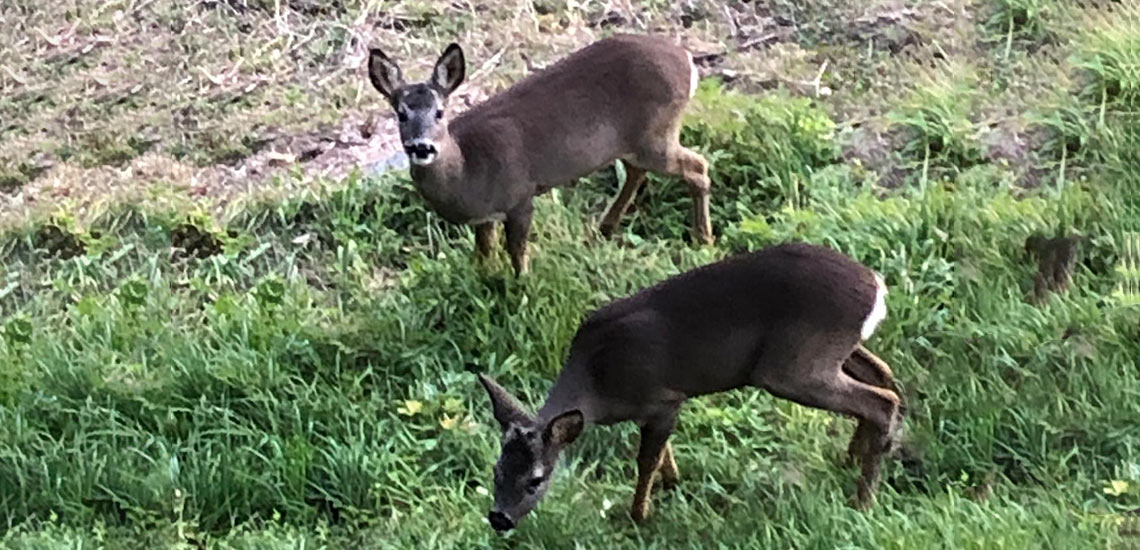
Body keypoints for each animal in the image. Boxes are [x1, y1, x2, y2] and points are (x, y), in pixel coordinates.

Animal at [367, 34, 714, 276]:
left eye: (440, 112)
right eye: (400, 114)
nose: (421, 147)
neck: (467, 167)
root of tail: (687, 61)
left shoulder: (520, 195)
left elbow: (517, 253)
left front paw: (521, 292)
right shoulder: (485, 217)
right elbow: (483, 255)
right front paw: (484, 284)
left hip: (657, 136)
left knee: (698, 166)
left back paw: (703, 240)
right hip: (636, 143)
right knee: (636, 172)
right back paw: (602, 229)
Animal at [476, 242, 904, 532]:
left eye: (536, 480)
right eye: (496, 469)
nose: (499, 518)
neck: (597, 382)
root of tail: (877, 288)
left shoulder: (664, 397)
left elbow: (646, 459)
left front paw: (639, 515)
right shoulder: (658, 405)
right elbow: (661, 452)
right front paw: (672, 483)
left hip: (794, 367)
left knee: (881, 399)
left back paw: (862, 501)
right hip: (831, 353)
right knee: (884, 375)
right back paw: (853, 460)